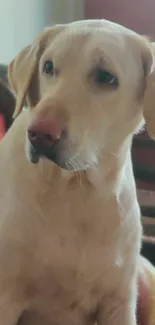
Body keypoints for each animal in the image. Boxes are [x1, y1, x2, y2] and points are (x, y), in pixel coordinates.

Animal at [0, 18, 155, 324]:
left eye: (106, 77)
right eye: (48, 66)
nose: (39, 134)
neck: (77, 190)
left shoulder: (119, 300)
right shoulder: (6, 296)